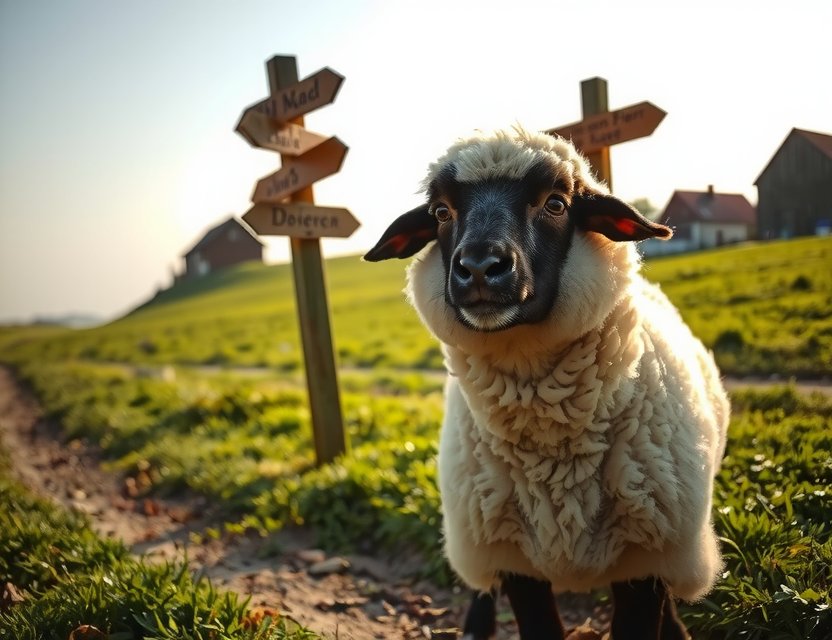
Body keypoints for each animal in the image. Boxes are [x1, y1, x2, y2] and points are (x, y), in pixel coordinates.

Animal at [364, 126, 729, 639]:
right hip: (476, 526)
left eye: (556, 204)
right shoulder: (513, 556)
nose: (480, 267)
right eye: (440, 212)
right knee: (480, 583)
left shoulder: (648, 553)